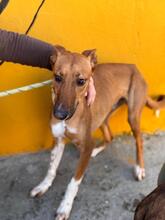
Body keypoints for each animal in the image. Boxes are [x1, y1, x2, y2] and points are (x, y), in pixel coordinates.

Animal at [30, 47, 164, 219]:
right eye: (57, 77)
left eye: (81, 81)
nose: (59, 114)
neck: (70, 118)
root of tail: (134, 68)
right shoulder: (58, 140)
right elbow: (51, 168)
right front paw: (43, 186)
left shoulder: (86, 145)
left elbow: (73, 182)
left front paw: (64, 207)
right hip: (102, 115)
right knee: (109, 136)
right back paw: (97, 150)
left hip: (132, 115)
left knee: (139, 140)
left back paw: (139, 168)